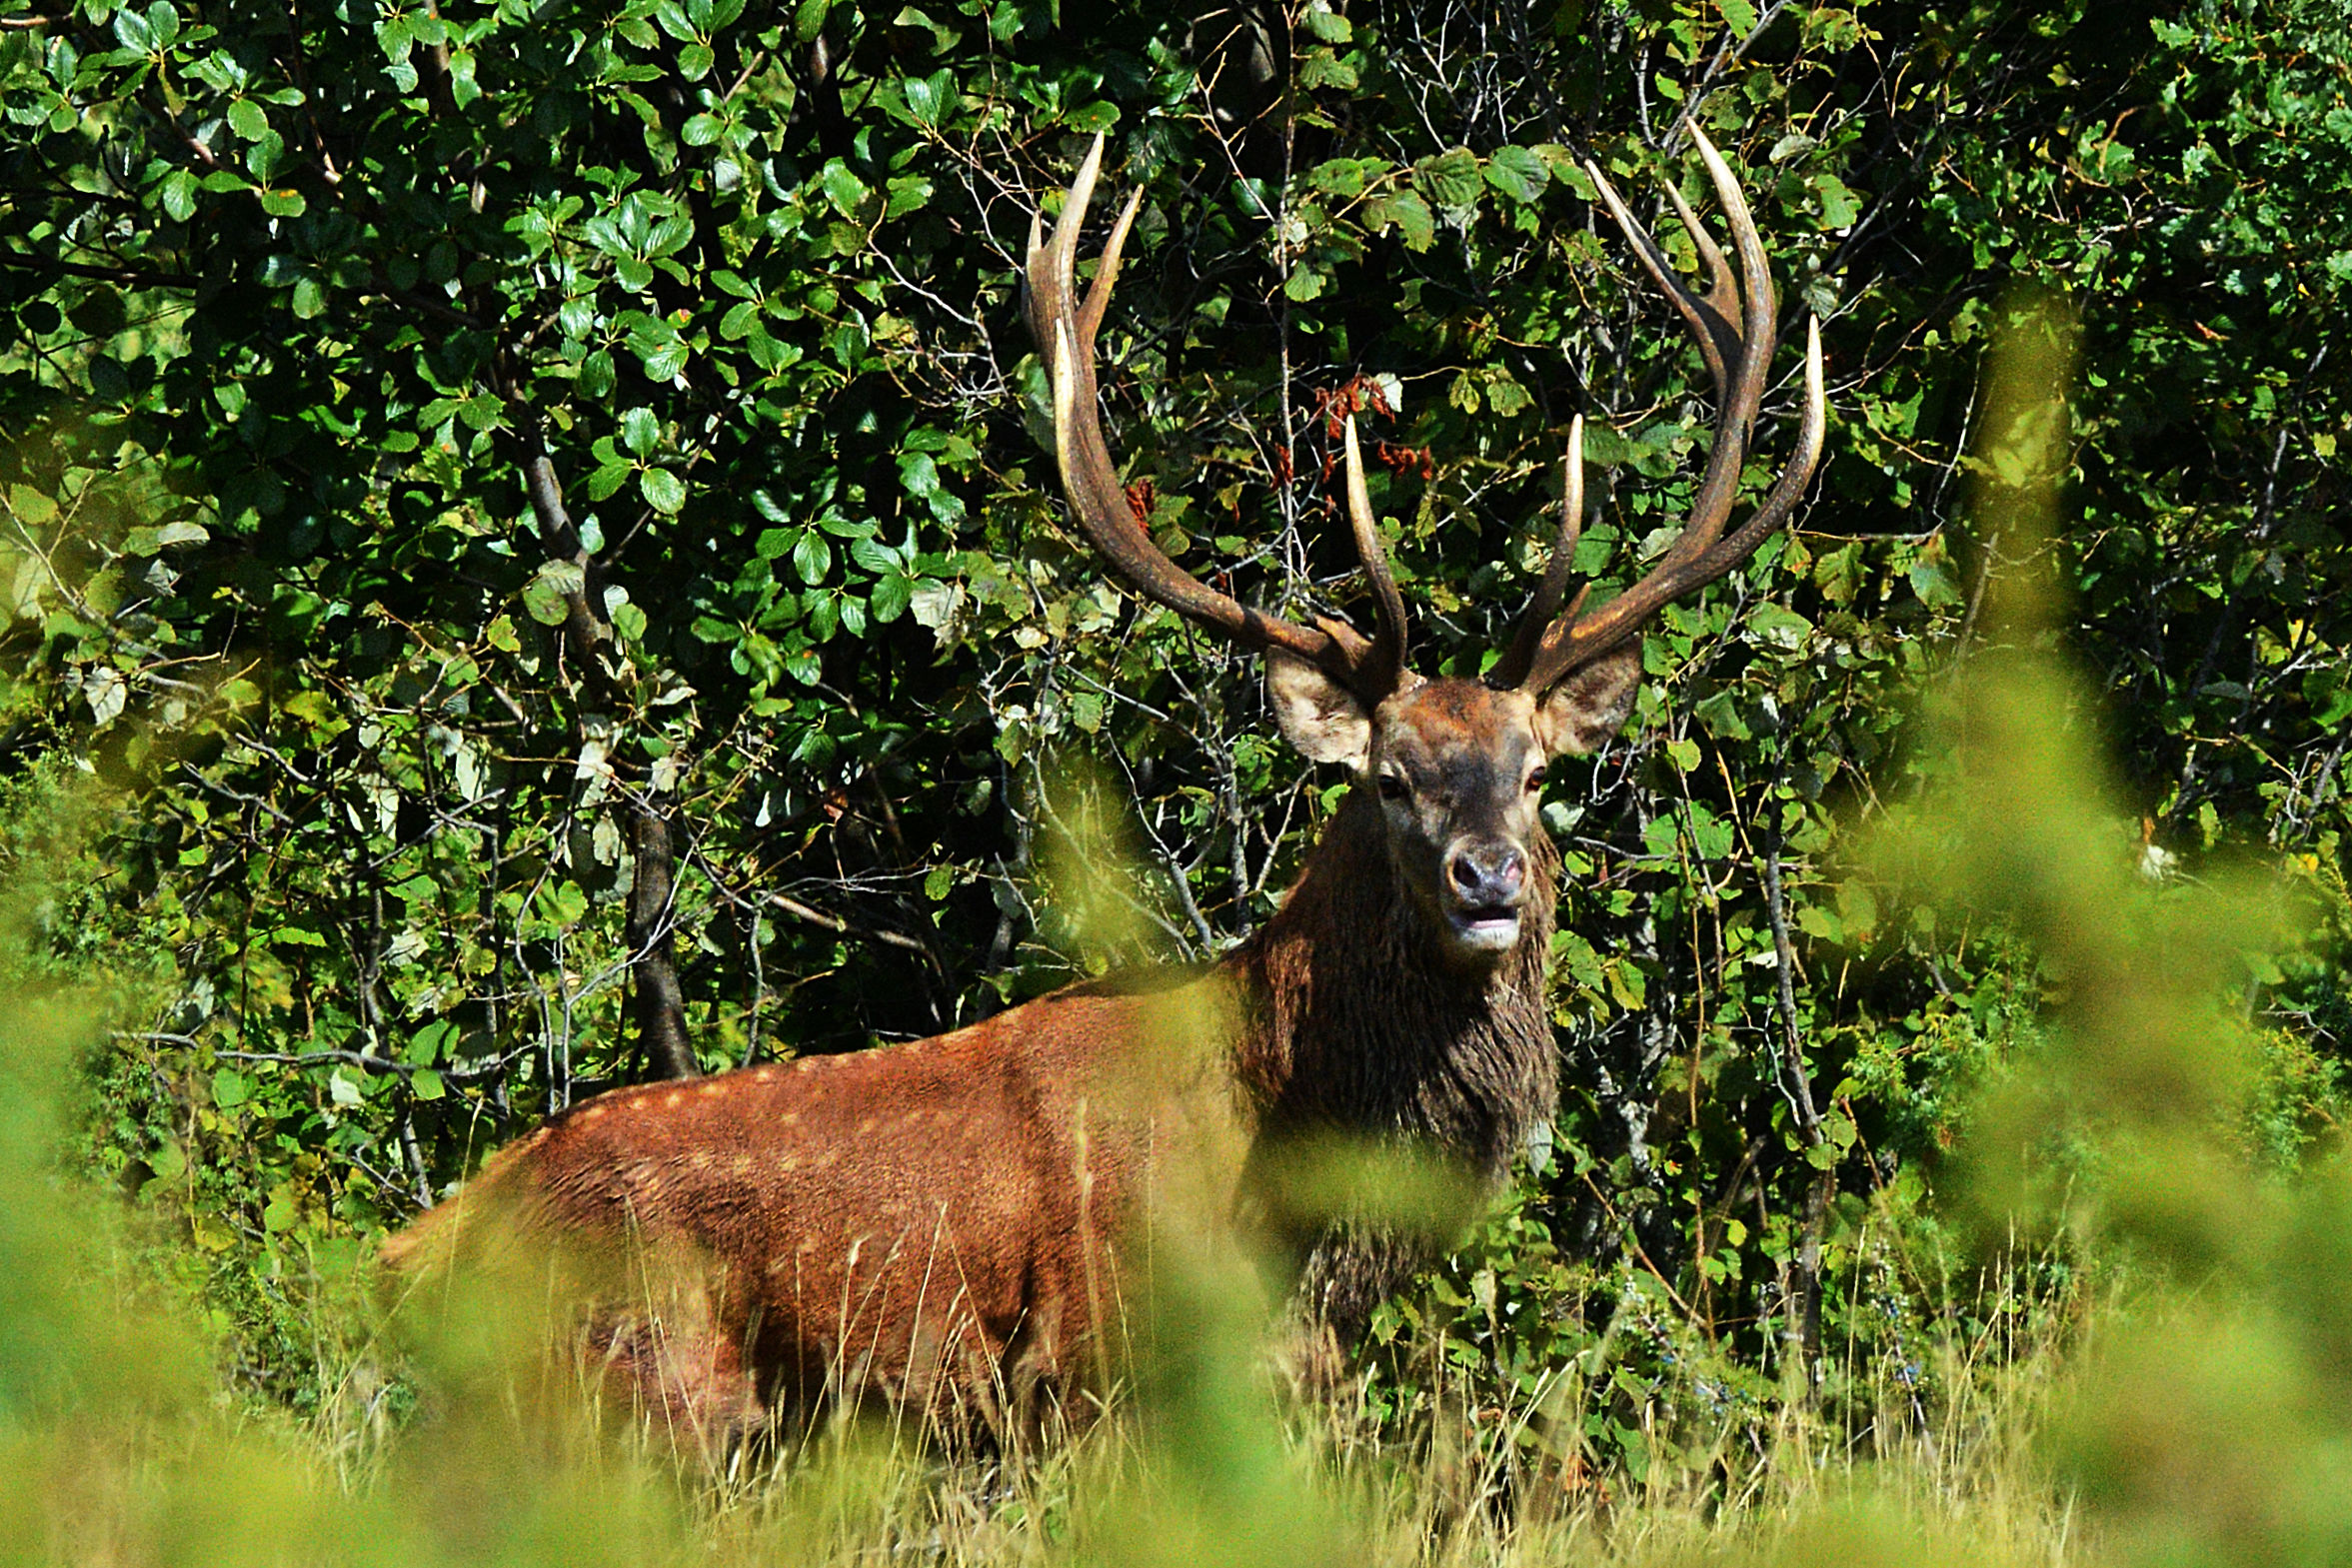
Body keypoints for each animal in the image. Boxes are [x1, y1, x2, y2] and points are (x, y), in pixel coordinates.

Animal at [382, 129, 1825, 1461]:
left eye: (1533, 775)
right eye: (1390, 778)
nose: (1490, 878)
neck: (1283, 1169)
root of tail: (426, 1245)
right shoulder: (1082, 1366)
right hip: (626, 1402)